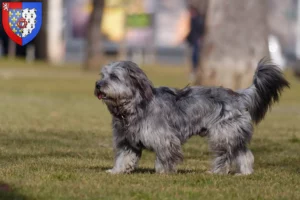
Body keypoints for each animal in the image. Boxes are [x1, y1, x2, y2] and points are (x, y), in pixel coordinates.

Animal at [95, 59, 290, 175]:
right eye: (102, 75)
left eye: (114, 77)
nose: (97, 85)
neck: (135, 107)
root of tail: (238, 96)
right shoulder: (127, 142)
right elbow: (124, 158)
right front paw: (115, 171)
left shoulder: (165, 139)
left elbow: (165, 158)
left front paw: (163, 173)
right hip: (232, 135)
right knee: (244, 154)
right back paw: (244, 173)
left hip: (222, 135)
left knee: (226, 156)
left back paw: (216, 172)